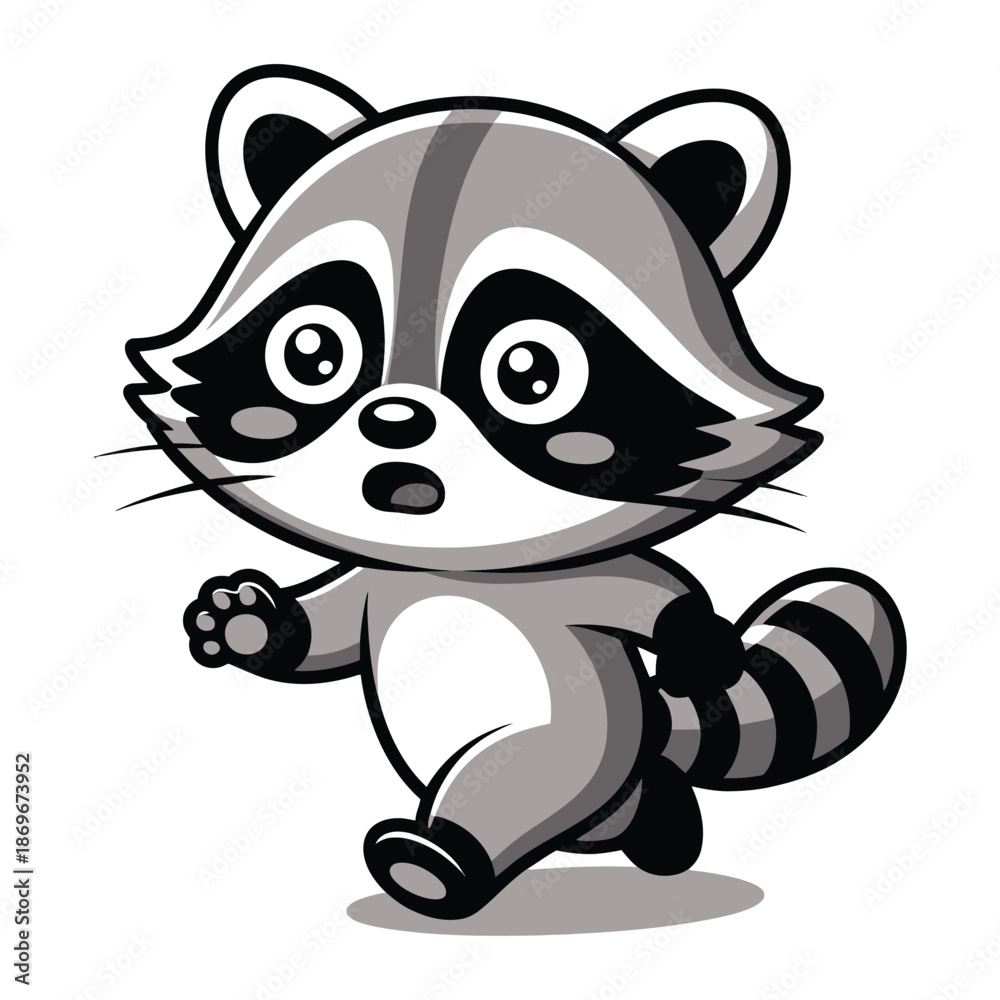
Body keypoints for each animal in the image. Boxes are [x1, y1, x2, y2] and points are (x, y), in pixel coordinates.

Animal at [124, 66, 905, 919]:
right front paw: (253, 624)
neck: (452, 568)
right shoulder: (379, 580)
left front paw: (695, 636)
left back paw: (440, 856)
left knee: (513, 777)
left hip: (586, 739)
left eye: (530, 371)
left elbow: (653, 593)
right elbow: (327, 625)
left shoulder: (576, 587)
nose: (395, 420)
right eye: (312, 353)